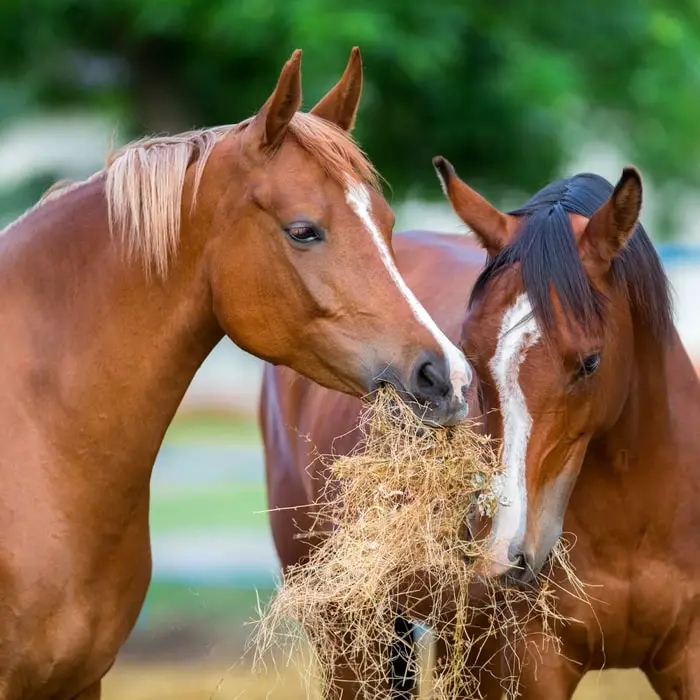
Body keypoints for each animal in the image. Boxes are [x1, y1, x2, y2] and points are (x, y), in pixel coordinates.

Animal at [262, 165, 700, 700]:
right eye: (469, 352)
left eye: (590, 362)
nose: (500, 552)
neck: (633, 522)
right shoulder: (514, 669)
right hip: (348, 639)